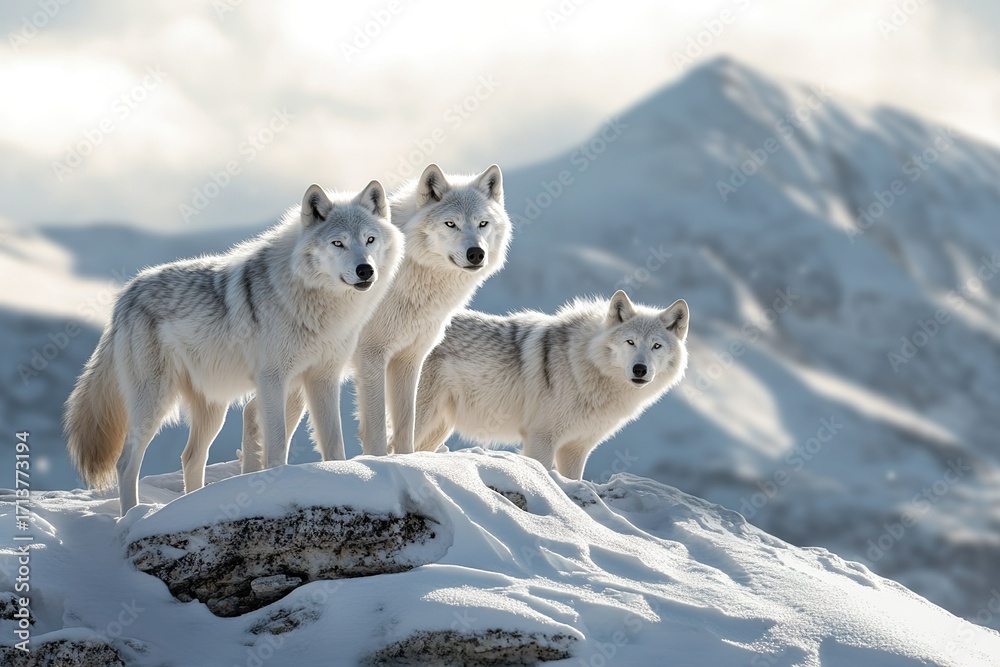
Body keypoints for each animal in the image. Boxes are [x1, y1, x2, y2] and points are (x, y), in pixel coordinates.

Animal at [65, 181, 404, 515]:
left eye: (369, 240)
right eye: (338, 243)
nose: (365, 270)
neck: (320, 305)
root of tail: (126, 294)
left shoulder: (323, 379)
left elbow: (334, 445)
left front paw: (343, 476)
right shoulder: (272, 381)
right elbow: (276, 447)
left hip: (213, 411)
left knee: (191, 458)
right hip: (153, 404)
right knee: (126, 463)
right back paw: (130, 517)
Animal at [240, 163, 513, 469]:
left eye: (482, 224)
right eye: (450, 224)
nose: (476, 253)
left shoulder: (409, 359)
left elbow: (406, 427)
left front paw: (409, 461)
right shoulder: (371, 356)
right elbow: (378, 428)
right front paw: (378, 462)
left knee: (254, 415)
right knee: (254, 416)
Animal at [412, 290, 689, 479]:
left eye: (656, 346)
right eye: (630, 342)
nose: (640, 369)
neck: (585, 364)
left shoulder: (576, 448)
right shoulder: (541, 438)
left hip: (439, 428)